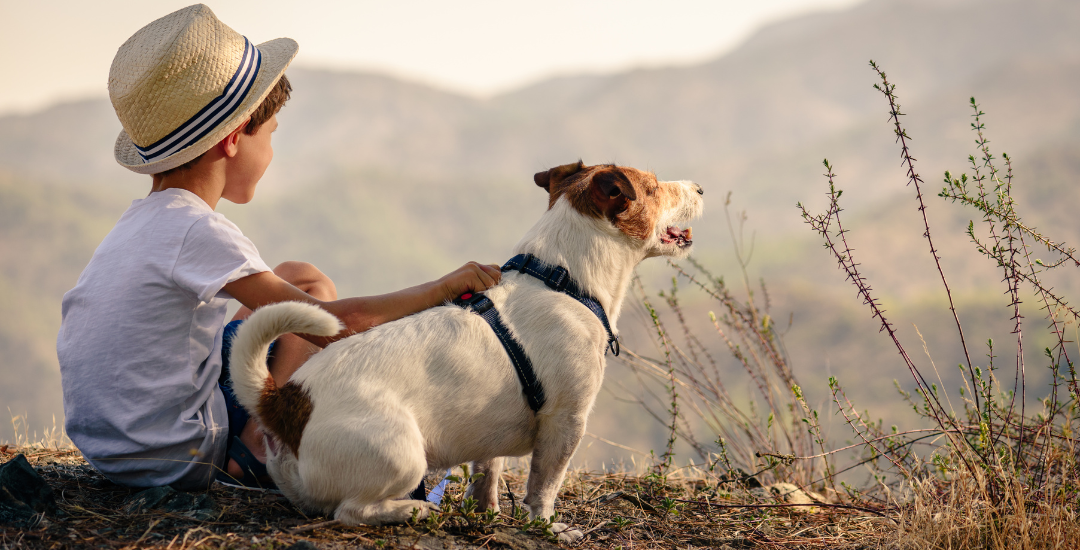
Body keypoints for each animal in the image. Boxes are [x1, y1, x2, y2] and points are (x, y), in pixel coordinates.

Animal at [230, 159, 699, 540]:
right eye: (654, 186)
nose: (700, 186)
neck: (562, 279)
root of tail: (283, 401)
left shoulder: (490, 434)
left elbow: (486, 472)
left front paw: (485, 512)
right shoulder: (566, 422)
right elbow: (544, 486)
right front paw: (547, 527)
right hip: (403, 453)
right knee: (350, 511)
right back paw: (412, 511)